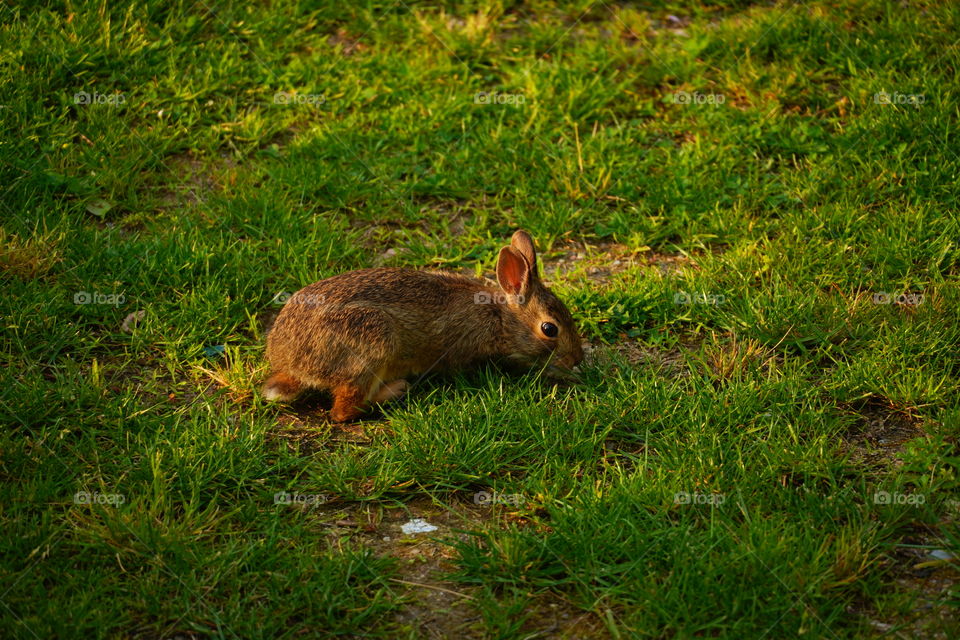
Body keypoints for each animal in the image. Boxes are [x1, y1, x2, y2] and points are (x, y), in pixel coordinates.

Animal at [260, 229, 584, 420]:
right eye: (549, 329)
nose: (577, 359)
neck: (500, 318)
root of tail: (293, 365)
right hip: (371, 343)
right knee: (343, 410)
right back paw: (395, 390)